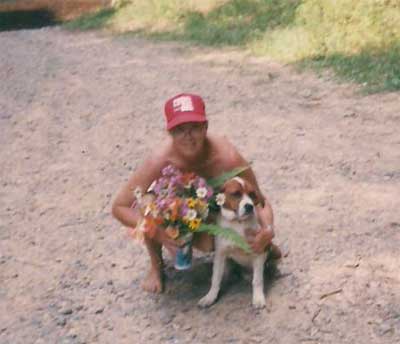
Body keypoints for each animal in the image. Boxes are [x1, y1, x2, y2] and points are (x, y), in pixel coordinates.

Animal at [198, 177, 268, 310]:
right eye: (236, 194)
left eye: (252, 194)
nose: (250, 206)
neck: (238, 223)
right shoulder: (220, 254)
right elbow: (215, 279)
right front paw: (210, 297)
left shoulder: (258, 251)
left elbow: (257, 280)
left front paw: (258, 298)